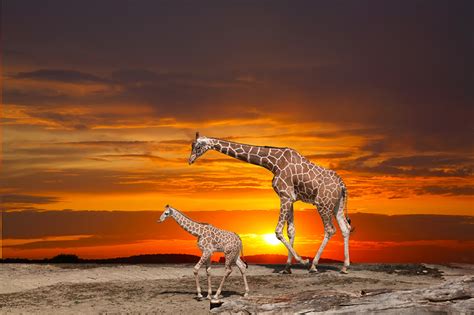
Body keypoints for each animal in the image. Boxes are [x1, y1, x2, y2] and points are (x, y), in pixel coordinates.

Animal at [189, 133, 352, 274]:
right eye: (192, 145)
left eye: (198, 146)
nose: (190, 160)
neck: (273, 163)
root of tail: (342, 185)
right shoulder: (290, 198)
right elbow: (291, 231)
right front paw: (287, 268)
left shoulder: (285, 196)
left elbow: (278, 231)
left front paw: (303, 261)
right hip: (337, 205)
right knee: (345, 228)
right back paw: (344, 267)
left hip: (323, 203)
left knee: (330, 230)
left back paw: (313, 265)